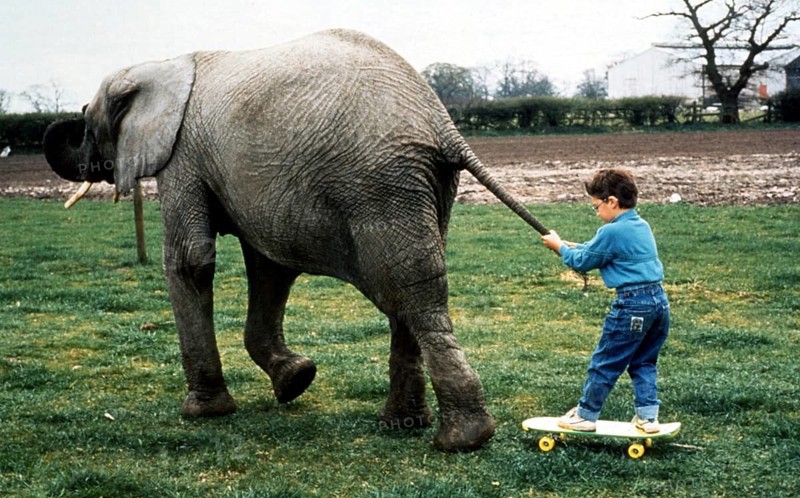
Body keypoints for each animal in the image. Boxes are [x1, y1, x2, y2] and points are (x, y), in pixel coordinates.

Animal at [42, 29, 548, 452]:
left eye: (88, 126)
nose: (67, 120)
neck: (163, 65)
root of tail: (443, 126)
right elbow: (269, 267)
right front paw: (296, 381)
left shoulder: (182, 155)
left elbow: (192, 260)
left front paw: (204, 412)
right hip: (421, 187)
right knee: (411, 290)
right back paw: (409, 425)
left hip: (377, 186)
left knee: (409, 292)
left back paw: (461, 439)